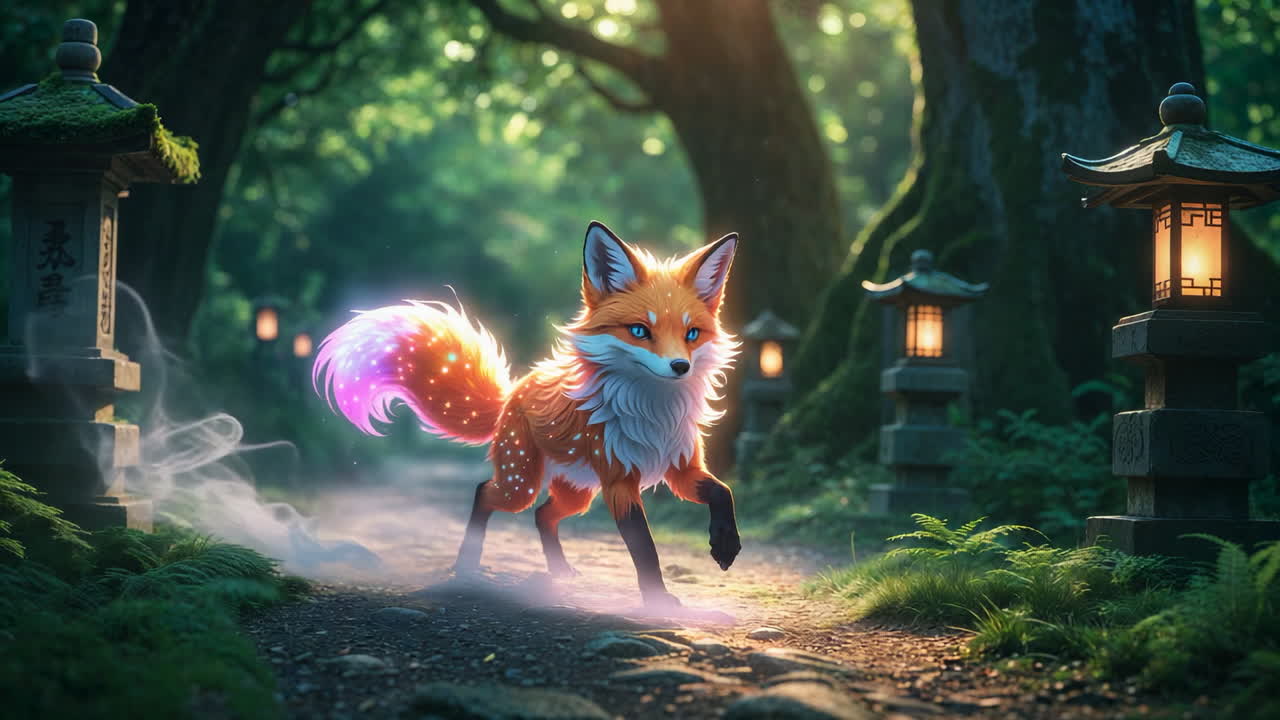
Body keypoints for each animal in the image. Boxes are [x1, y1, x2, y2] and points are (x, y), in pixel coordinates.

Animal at [313, 222, 742, 607]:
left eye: (691, 334)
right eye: (639, 331)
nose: (680, 367)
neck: (653, 413)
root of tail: (515, 390)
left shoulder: (680, 467)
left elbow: (722, 491)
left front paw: (725, 545)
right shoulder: (619, 481)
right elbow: (644, 547)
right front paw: (657, 600)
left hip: (576, 493)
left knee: (542, 515)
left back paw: (558, 570)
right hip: (521, 484)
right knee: (486, 493)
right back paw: (467, 564)